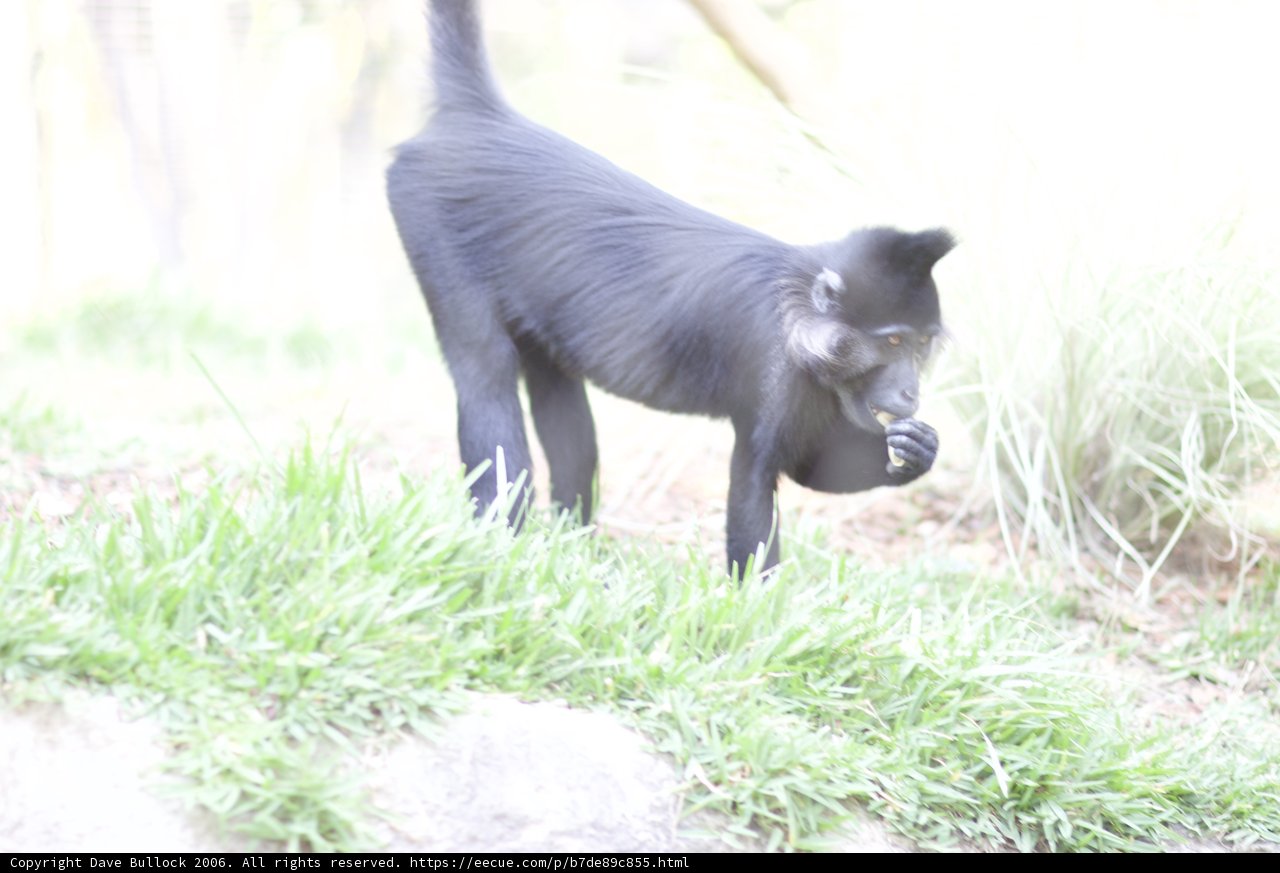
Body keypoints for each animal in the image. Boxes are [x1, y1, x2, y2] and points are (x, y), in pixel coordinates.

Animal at [386, 0, 954, 577]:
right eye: (891, 342)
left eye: (921, 345)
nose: (911, 390)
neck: (797, 308)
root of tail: (481, 116)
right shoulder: (771, 364)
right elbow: (754, 478)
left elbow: (812, 466)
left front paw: (917, 452)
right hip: (426, 215)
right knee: (485, 373)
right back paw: (501, 545)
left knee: (558, 393)